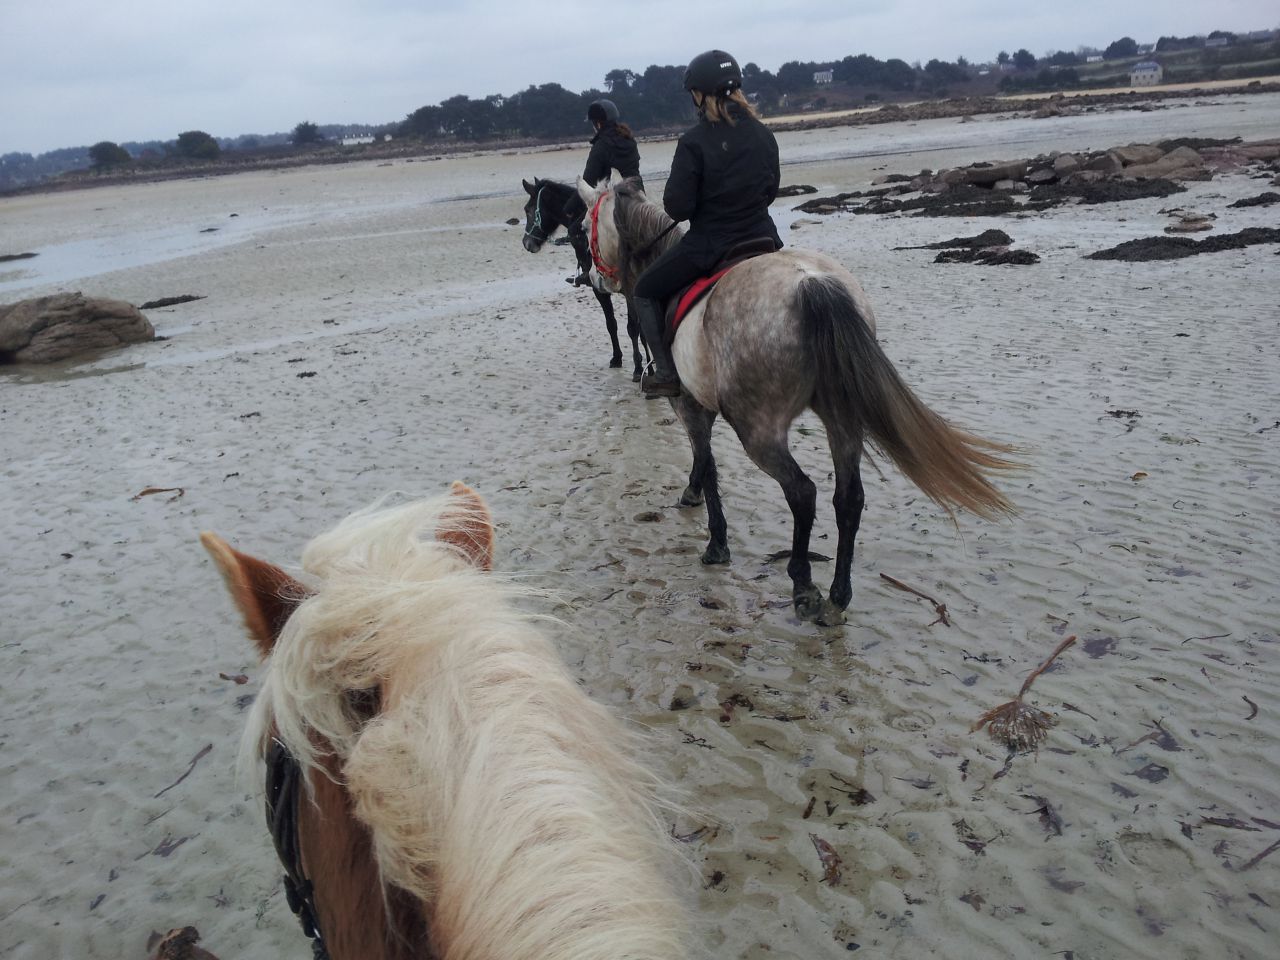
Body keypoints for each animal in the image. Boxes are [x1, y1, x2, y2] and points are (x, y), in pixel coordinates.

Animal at [521, 177, 647, 380]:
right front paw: (618, 358)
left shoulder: (615, 291)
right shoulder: (606, 292)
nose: (527, 243)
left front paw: (638, 366)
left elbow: (631, 327)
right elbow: (612, 324)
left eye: (528, 209)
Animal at [577, 177, 1019, 626]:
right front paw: (695, 495)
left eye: (583, 226)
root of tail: (810, 283)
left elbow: (708, 464)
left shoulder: (688, 406)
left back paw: (803, 585)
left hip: (759, 430)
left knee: (803, 493)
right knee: (849, 498)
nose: (593, 278)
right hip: (842, 419)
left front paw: (713, 536)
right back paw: (839, 593)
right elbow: (707, 463)